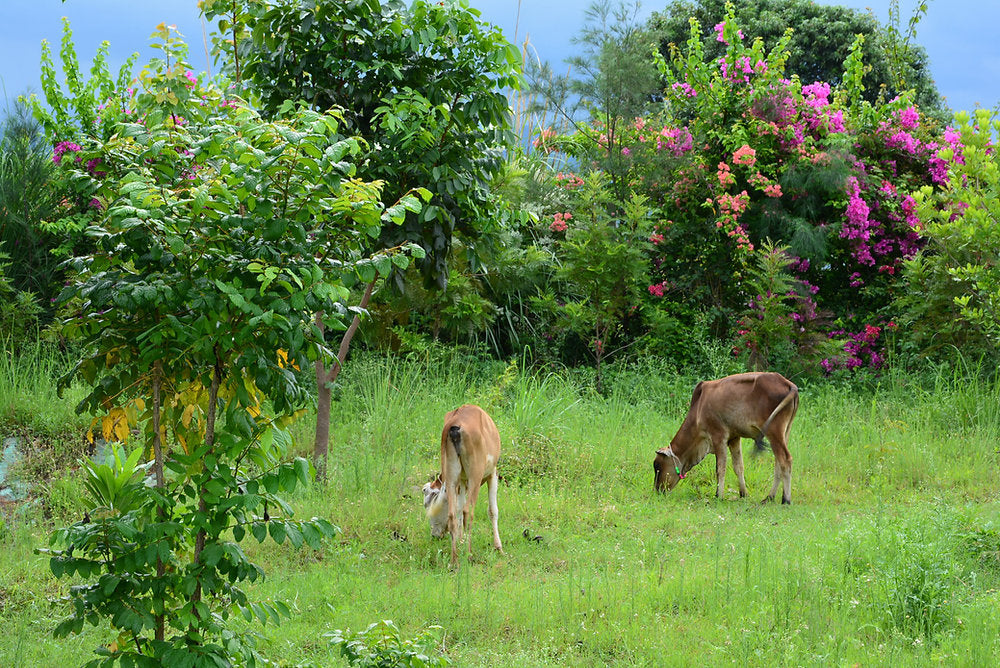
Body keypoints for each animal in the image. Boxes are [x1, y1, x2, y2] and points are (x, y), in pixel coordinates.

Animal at [422, 404, 503, 567]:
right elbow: (492, 511)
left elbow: (458, 510)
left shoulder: (461, 481)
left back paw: (454, 561)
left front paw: (460, 541)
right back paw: (469, 555)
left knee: (453, 514)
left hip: (452, 473)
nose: (434, 535)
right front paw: (498, 547)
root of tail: (455, 426)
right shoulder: (492, 473)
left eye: (429, 504)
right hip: (475, 475)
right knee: (468, 512)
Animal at [653, 372, 799, 504]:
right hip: (785, 433)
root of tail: (789, 385)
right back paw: (770, 497)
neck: (698, 408)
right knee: (778, 463)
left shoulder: (718, 436)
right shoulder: (734, 438)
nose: (658, 490)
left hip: (774, 432)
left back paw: (786, 499)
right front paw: (743, 493)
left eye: (657, 466)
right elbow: (738, 466)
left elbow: (720, 468)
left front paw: (719, 495)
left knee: (785, 460)